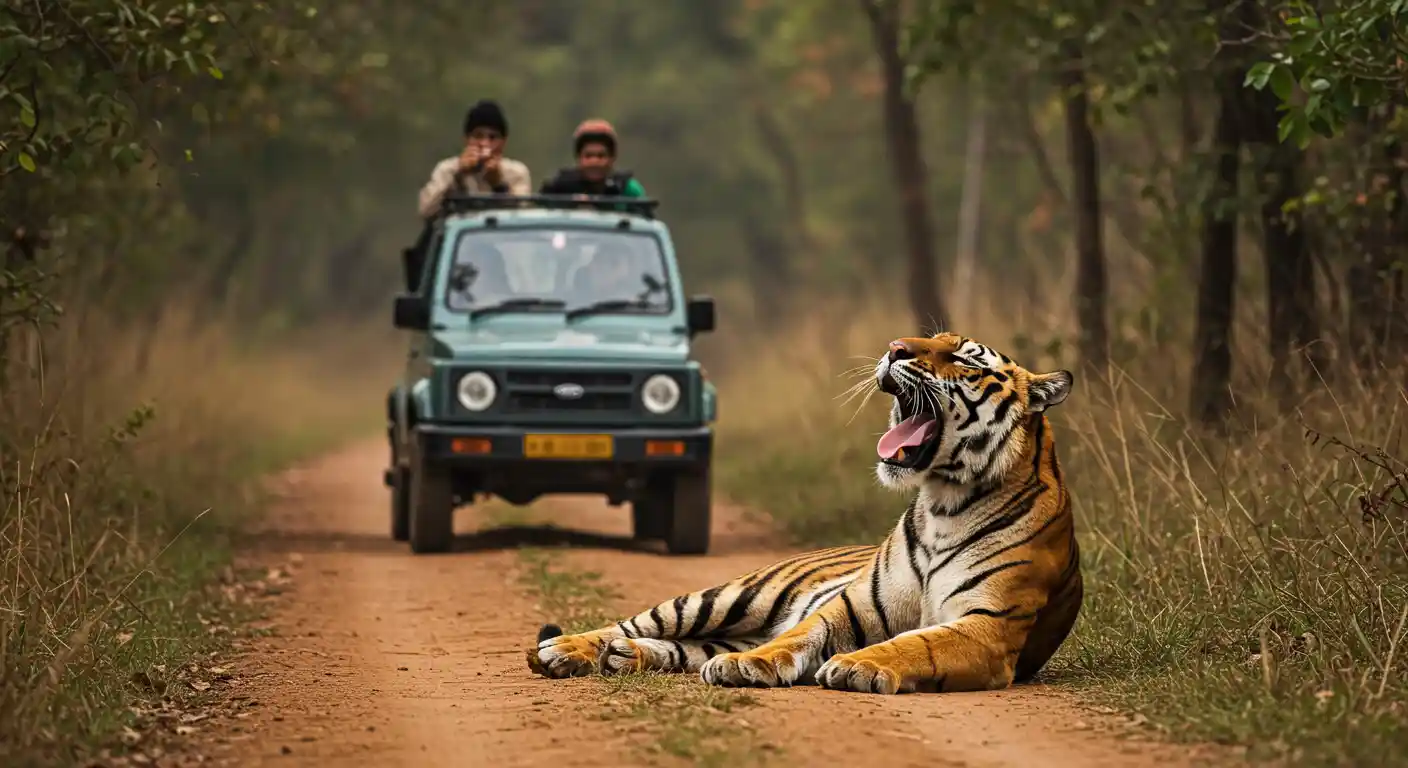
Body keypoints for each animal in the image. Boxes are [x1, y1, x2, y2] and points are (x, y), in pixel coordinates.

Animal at [526, 332, 1082, 695]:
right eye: (929, 336)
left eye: (963, 359)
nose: (894, 348)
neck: (943, 502)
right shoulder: (854, 605)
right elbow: (802, 632)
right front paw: (751, 665)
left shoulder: (987, 627)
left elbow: (914, 644)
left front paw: (855, 665)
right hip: (725, 596)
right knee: (631, 624)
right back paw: (563, 651)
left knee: (684, 647)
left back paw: (625, 658)